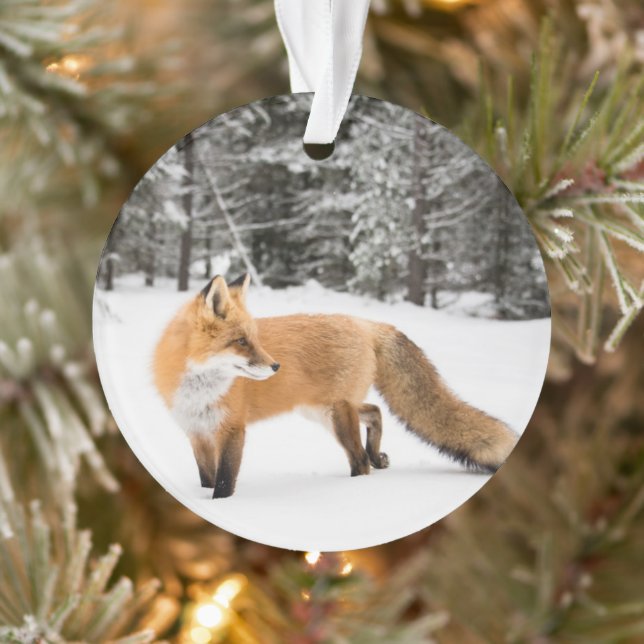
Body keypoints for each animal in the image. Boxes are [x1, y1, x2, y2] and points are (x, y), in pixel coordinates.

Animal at [153, 274, 519, 499]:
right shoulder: (197, 433)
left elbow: (224, 483)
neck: (199, 390)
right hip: (323, 411)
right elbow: (207, 479)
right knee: (374, 412)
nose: (275, 366)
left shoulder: (232, 430)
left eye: (254, 339)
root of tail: (366, 323)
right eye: (241, 341)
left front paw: (221, 507)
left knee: (360, 460)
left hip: (336, 414)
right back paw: (377, 456)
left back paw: (354, 485)